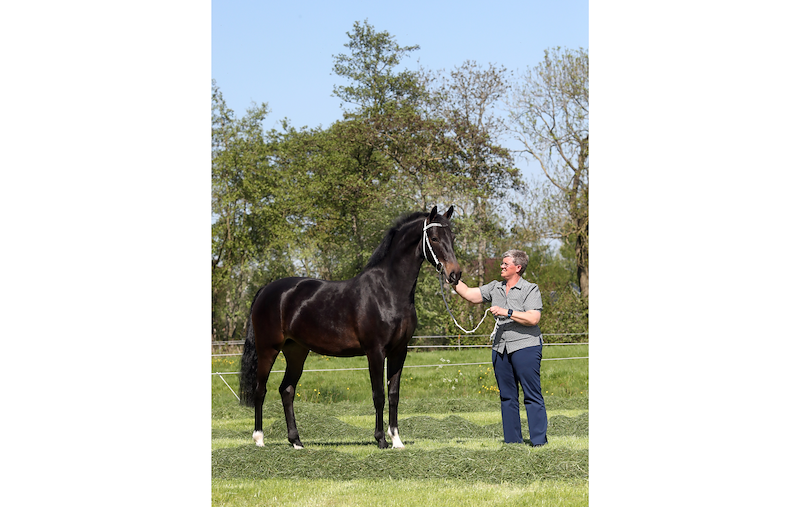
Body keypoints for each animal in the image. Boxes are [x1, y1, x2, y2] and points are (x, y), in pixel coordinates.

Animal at [238, 206, 462, 449]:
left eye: (453, 237)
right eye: (434, 238)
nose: (455, 274)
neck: (388, 290)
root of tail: (266, 290)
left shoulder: (399, 351)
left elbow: (393, 394)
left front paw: (397, 440)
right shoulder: (375, 352)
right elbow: (378, 394)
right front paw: (381, 439)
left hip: (296, 351)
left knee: (286, 390)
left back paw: (296, 441)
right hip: (268, 349)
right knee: (260, 390)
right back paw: (259, 439)